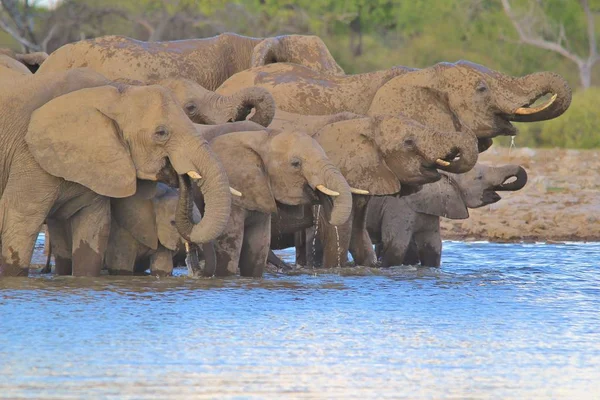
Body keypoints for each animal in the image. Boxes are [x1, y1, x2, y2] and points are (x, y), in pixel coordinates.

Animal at [0, 69, 232, 276]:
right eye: (161, 133)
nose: (182, 174)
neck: (113, 93)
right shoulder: (28, 156)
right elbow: (21, 221)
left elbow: (93, 228)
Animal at [188, 123, 354, 276]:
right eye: (296, 164)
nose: (320, 194)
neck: (263, 138)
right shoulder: (232, 193)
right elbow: (229, 251)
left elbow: (257, 251)